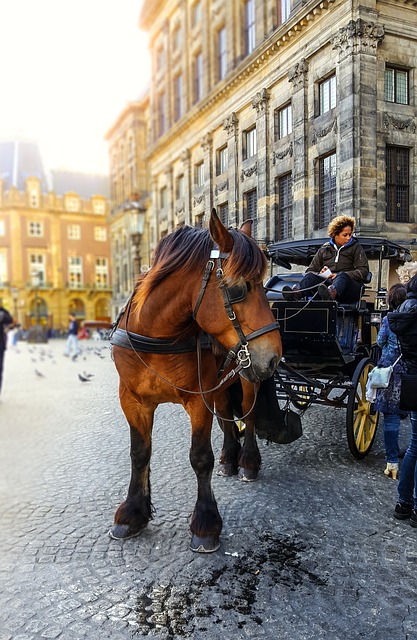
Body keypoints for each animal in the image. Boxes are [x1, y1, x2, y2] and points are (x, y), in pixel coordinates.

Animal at [109, 209, 282, 552]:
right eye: (240, 288)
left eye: (263, 285)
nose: (273, 357)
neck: (157, 335)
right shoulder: (132, 400)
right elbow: (139, 453)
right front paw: (133, 512)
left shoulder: (197, 400)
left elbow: (201, 458)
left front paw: (205, 523)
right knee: (227, 416)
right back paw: (230, 456)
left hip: (246, 378)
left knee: (249, 416)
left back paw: (247, 461)